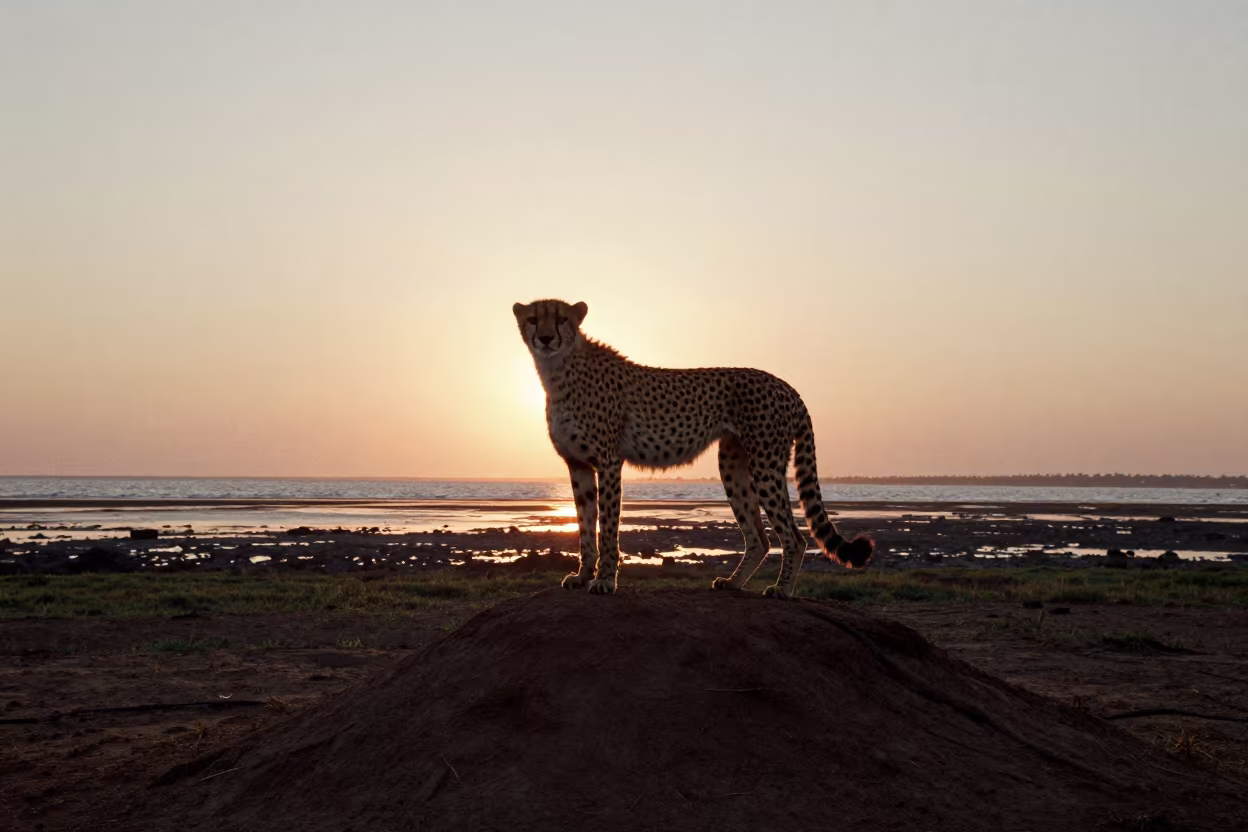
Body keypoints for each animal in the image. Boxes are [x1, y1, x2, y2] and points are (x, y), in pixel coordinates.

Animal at [513, 298, 874, 599]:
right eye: (533, 319)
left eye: (561, 318)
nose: (545, 338)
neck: (559, 371)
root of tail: (787, 386)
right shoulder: (578, 464)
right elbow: (585, 526)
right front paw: (582, 576)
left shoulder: (608, 461)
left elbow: (608, 527)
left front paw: (604, 580)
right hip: (733, 464)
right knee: (759, 538)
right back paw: (734, 583)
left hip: (765, 464)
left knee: (794, 537)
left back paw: (782, 589)